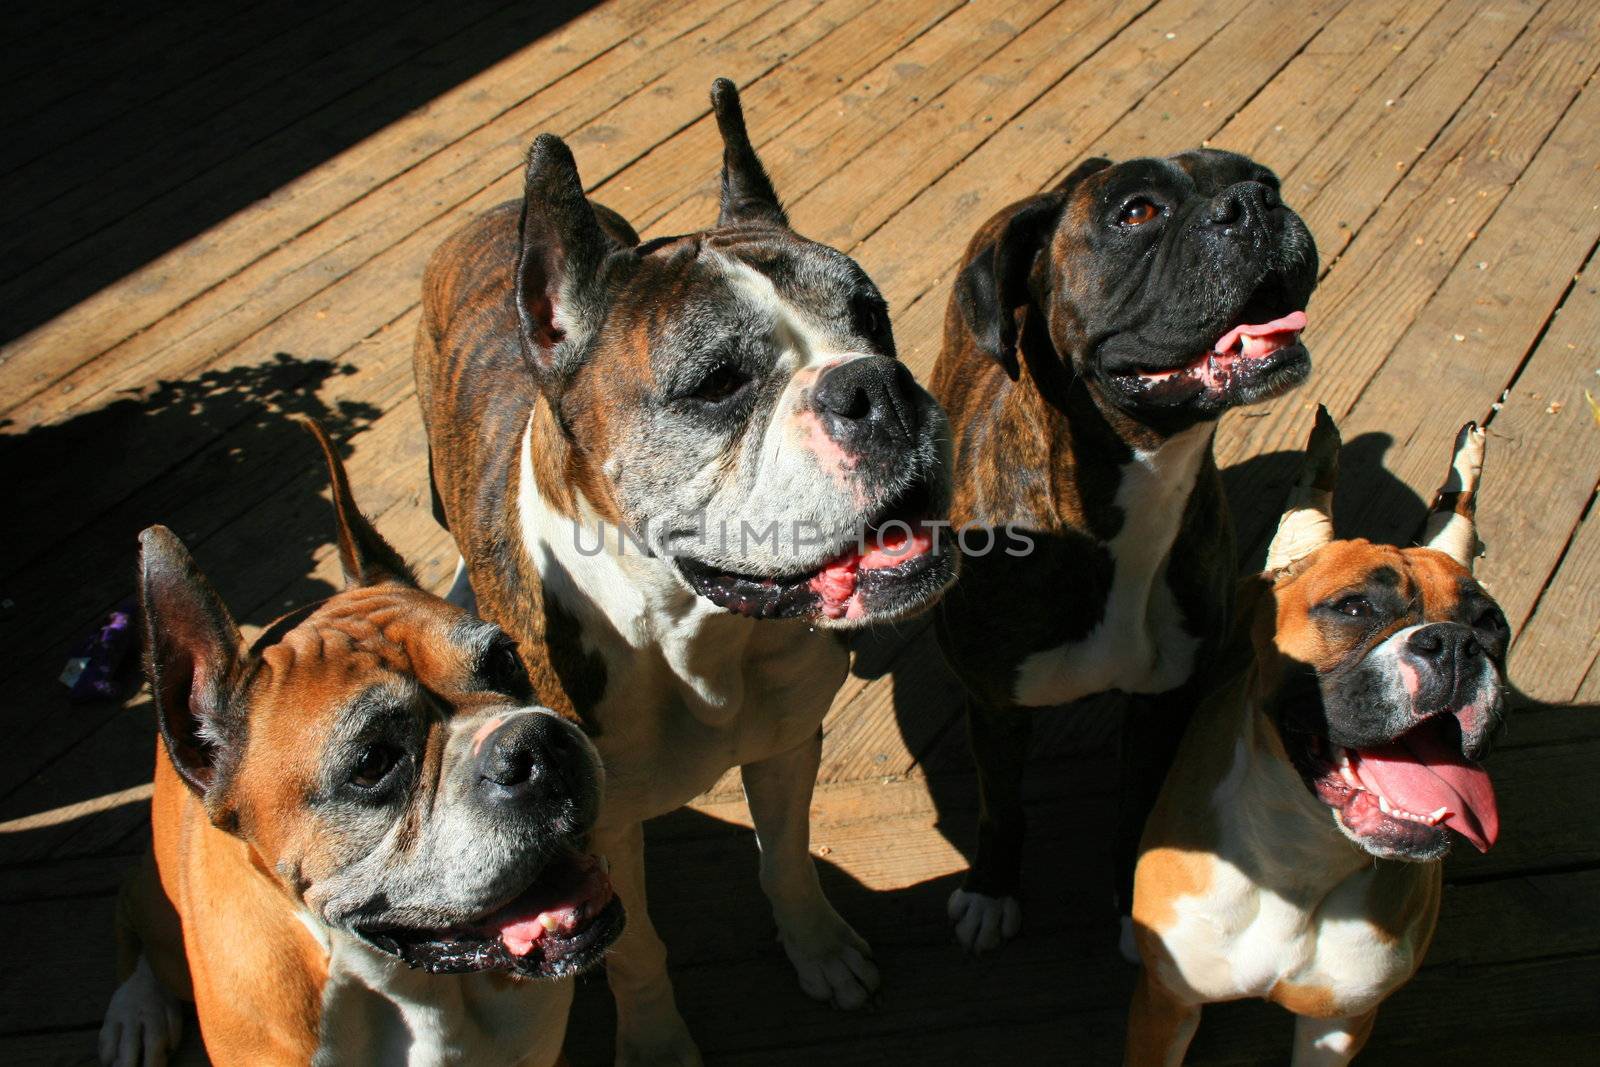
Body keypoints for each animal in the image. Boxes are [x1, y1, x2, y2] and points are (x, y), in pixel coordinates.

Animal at [419, 79, 953, 1062]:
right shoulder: (595, 833)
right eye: (717, 383)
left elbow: (787, 860)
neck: (694, 627)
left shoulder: (786, 744)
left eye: (873, 316)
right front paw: (658, 1041)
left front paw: (817, 949)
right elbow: (635, 951)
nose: (878, 385)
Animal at [934, 147, 1318, 953]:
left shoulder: (1163, 701)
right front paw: (991, 889)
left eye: (1264, 179)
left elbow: (1139, 815)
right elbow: (1000, 805)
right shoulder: (995, 707)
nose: (1254, 204)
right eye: (1136, 212)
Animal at [1132, 412, 1504, 1067]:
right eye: (1353, 608)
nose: (1457, 645)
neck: (1300, 862)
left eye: (1491, 624)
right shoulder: (1166, 1005)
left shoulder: (1339, 1025)